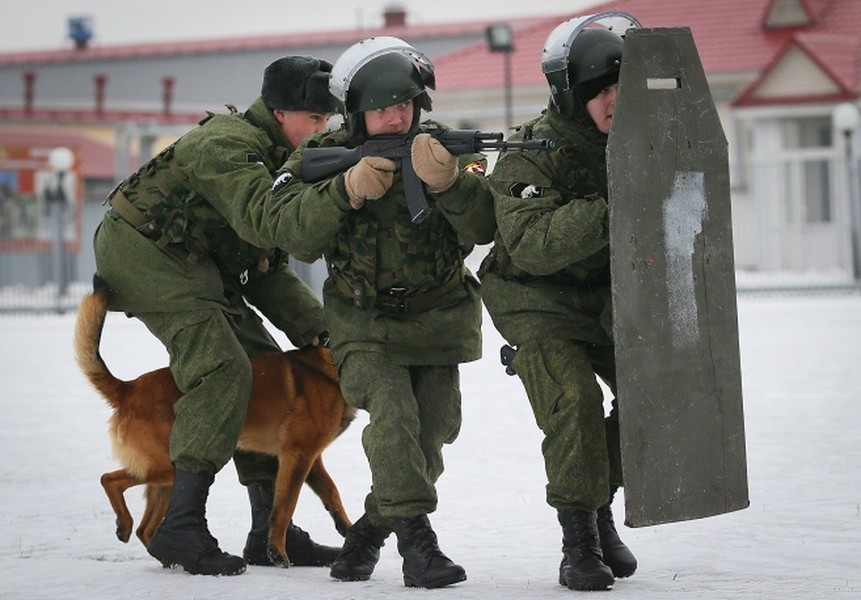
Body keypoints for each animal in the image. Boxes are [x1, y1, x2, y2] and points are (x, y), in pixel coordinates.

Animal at [74, 282, 354, 568]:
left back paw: (173, 558)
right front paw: (277, 551)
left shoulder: (310, 459)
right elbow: (285, 507)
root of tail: (129, 389)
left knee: (146, 529)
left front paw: (347, 528)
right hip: (166, 466)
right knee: (110, 480)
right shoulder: (297, 456)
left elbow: (331, 492)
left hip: (166, 479)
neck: (330, 363)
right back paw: (128, 526)